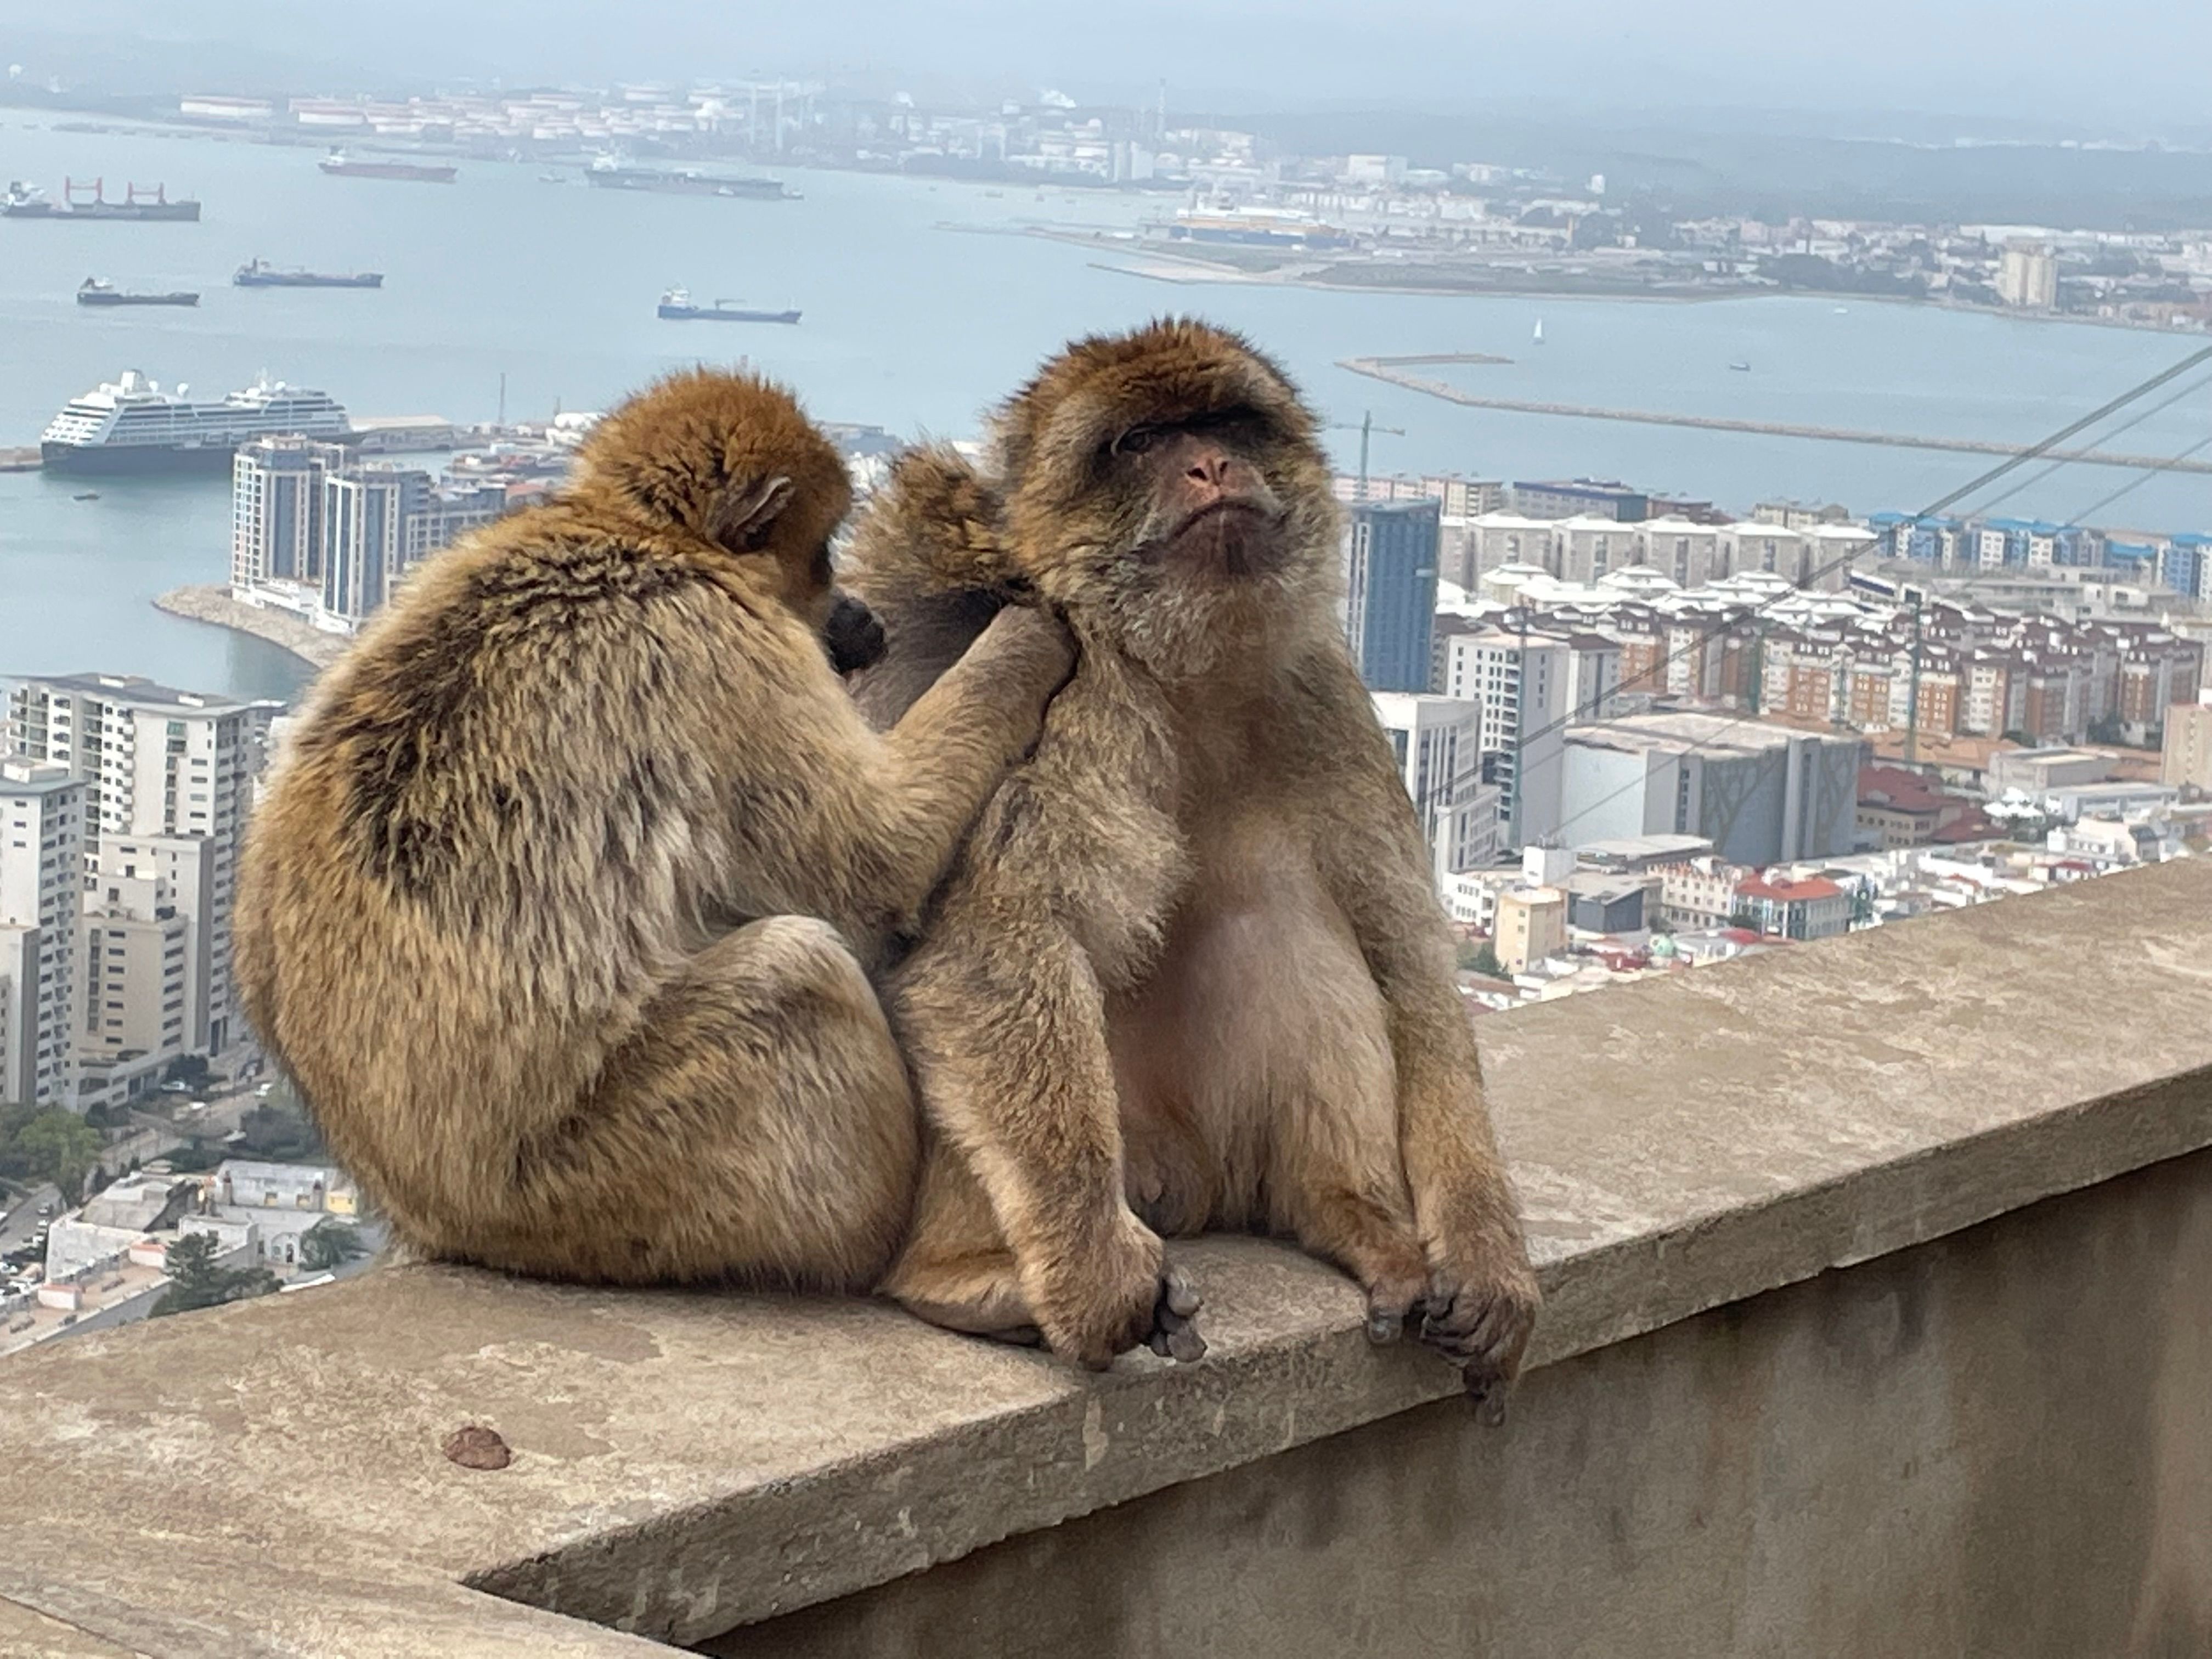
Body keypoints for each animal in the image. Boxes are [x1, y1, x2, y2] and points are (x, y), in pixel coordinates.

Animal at [238, 369, 1066, 1291]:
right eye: (821, 555)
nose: (859, 615)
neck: (637, 536)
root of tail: (426, 1210)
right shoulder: (722, 645)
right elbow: (873, 868)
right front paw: (1026, 637)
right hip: (601, 1183)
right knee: (796, 969)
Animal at [845, 318, 1539, 1398]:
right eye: (1139, 443)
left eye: (1223, 424)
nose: (1211, 467)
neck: (1183, 670)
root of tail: (1177, 1183)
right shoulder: (1069, 681)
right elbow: (997, 941)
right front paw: (1091, 1276)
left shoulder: (1327, 691)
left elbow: (1408, 959)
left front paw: (1482, 1246)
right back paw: (970, 1279)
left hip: (1212, 1150)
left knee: (1290, 923)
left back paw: (1354, 1222)